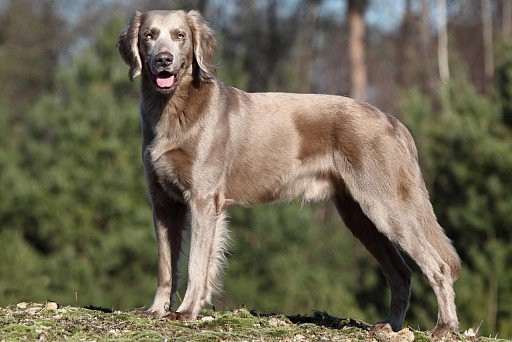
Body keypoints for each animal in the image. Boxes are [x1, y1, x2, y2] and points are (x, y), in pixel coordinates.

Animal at [118, 8, 462, 336]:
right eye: (149, 35)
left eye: (180, 36)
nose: (164, 60)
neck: (174, 109)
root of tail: (391, 121)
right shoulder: (163, 202)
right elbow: (165, 264)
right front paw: (156, 310)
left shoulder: (203, 198)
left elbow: (197, 262)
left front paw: (187, 310)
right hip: (358, 214)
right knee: (401, 272)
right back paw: (390, 325)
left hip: (385, 205)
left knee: (438, 266)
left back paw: (444, 326)